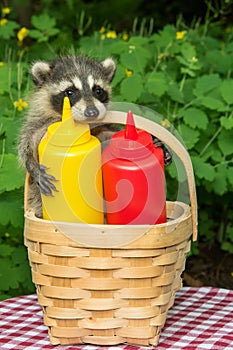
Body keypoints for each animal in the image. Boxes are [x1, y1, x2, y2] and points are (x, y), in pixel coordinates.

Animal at [17, 54, 116, 216]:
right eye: (70, 92)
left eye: (98, 90)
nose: (92, 112)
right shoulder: (37, 123)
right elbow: (26, 143)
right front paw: (31, 162)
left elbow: (106, 135)